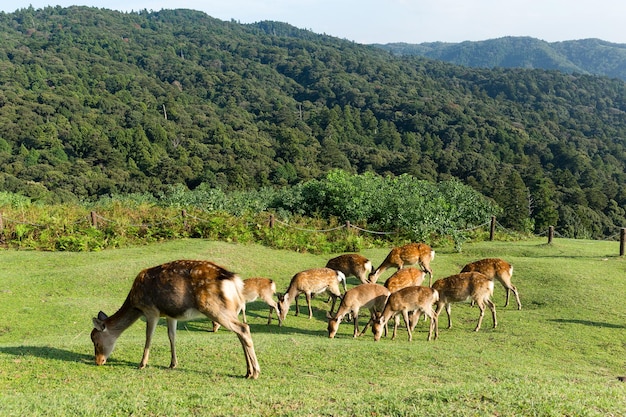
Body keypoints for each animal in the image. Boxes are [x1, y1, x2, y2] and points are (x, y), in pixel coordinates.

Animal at [89, 258, 260, 378]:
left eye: (96, 341)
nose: (98, 361)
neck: (135, 304)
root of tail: (234, 281)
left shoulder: (151, 310)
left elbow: (149, 337)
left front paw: (142, 364)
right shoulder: (170, 315)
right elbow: (172, 336)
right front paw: (172, 364)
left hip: (213, 307)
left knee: (243, 328)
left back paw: (256, 372)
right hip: (231, 309)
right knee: (240, 332)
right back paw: (248, 371)